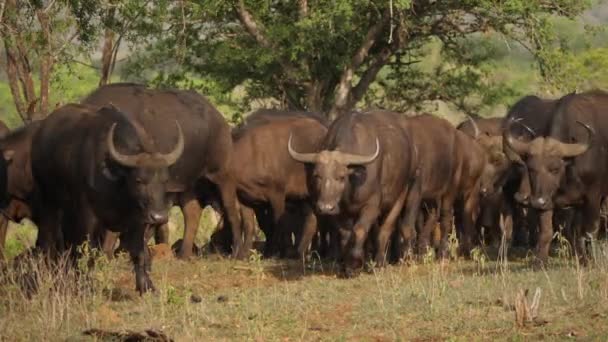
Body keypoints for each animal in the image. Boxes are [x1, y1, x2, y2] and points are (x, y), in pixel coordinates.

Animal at [31, 103, 183, 292]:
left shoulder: (138, 220)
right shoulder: (87, 216)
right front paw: (85, 285)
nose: (159, 216)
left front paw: (145, 286)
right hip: (49, 202)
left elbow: (138, 252)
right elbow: (88, 251)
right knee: (49, 239)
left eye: (165, 180)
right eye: (139, 180)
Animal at [81, 83, 242, 260]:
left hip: (222, 175)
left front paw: (110, 255)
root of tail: (219, 119)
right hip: (189, 184)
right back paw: (184, 254)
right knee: (192, 212)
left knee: (231, 209)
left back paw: (237, 251)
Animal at [288, 111, 416, 274]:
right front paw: (347, 265)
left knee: (385, 229)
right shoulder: (339, 212)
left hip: (401, 194)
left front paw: (355, 262)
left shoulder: (371, 206)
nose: (325, 208)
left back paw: (379, 262)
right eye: (317, 176)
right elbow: (345, 234)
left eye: (341, 177)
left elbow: (359, 230)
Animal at [504, 89, 604, 264]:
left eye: (555, 169)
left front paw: (593, 259)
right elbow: (547, 232)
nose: (535, 201)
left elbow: (590, 231)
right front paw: (540, 262)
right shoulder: (549, 201)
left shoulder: (593, 197)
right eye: (531, 168)